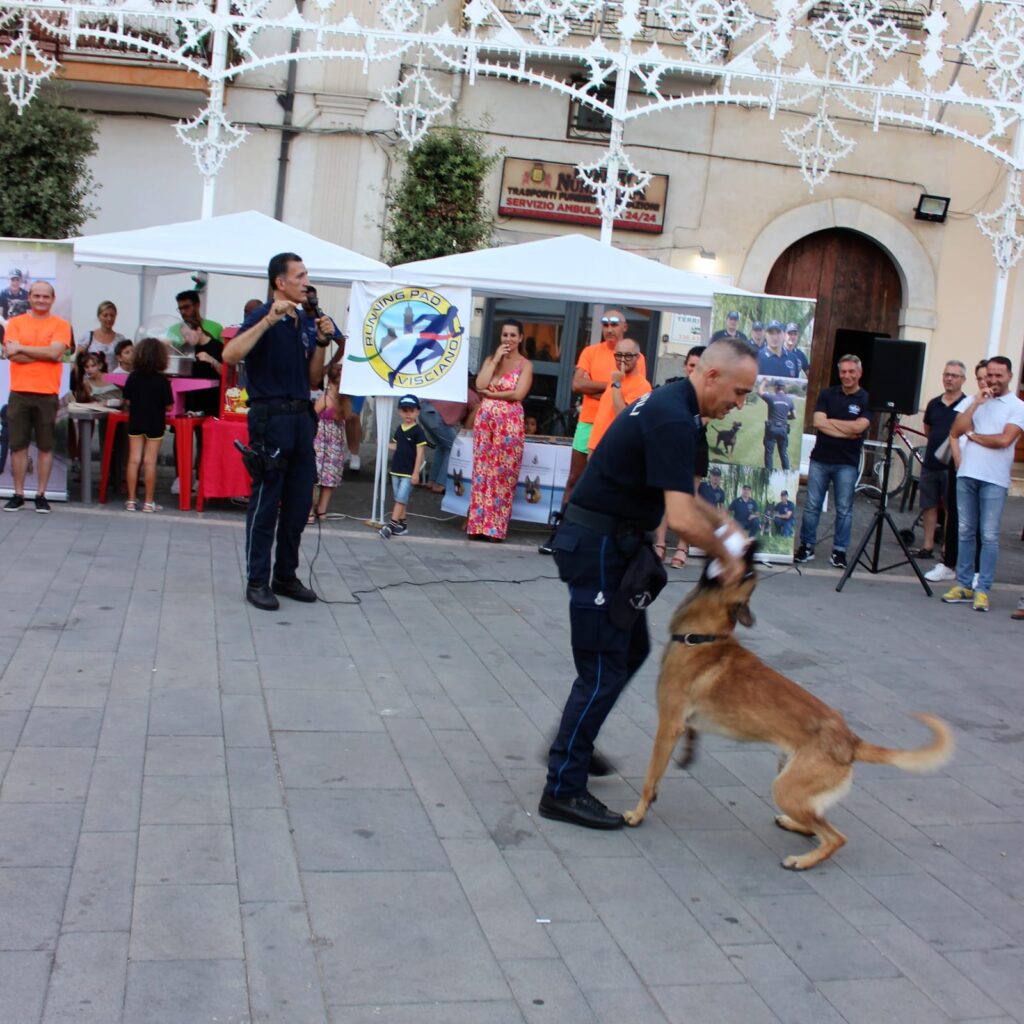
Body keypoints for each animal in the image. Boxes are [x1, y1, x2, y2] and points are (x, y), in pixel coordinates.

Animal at [618, 548, 954, 868]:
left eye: (745, 573)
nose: (750, 549)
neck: (703, 638)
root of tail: (850, 741)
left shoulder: (668, 725)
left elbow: (650, 777)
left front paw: (638, 813)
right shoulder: (683, 724)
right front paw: (684, 759)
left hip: (785, 788)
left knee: (835, 837)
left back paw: (801, 861)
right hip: (788, 774)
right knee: (816, 822)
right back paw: (794, 826)